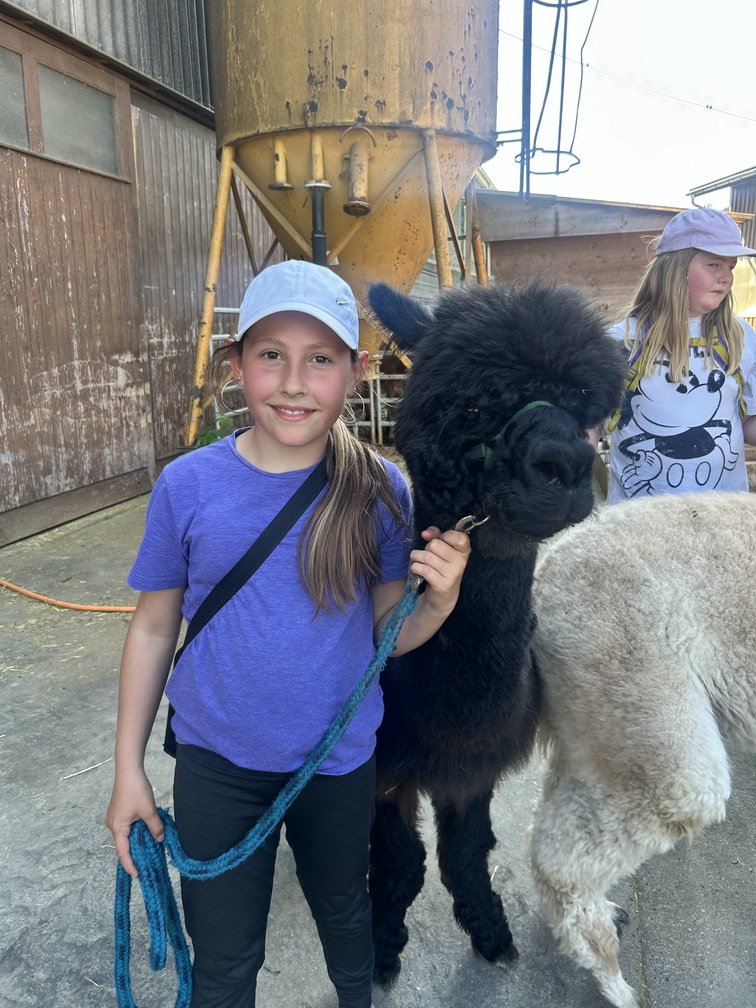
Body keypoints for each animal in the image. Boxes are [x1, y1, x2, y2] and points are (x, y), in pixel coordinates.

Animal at [365, 279, 626, 985]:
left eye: (583, 408)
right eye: (474, 405)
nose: (565, 464)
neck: (444, 721)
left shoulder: (473, 765)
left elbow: (464, 854)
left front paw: (489, 932)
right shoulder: (384, 768)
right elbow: (398, 865)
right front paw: (383, 950)